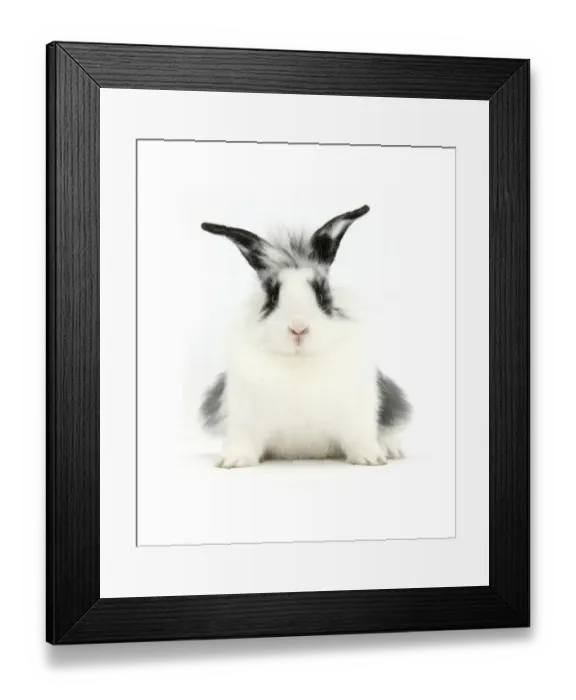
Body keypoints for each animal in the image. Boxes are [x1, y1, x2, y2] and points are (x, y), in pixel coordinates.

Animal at [199, 205, 412, 468]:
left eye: (323, 296)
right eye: (272, 298)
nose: (298, 328)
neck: (298, 362)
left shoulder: (358, 413)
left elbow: (360, 438)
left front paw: (371, 458)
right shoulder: (244, 416)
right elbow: (244, 441)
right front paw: (232, 460)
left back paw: (391, 449)